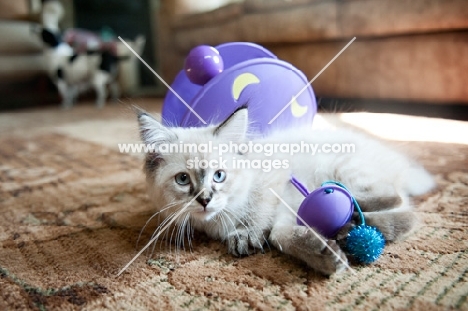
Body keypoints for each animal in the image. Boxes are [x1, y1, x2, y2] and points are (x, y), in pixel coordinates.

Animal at [137, 108, 434, 276]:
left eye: (219, 176)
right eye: (183, 180)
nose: (205, 200)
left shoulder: (274, 187)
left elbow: (266, 226)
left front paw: (245, 235)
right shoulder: (286, 213)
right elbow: (281, 235)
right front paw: (325, 254)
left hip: (344, 170)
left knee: (396, 200)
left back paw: (351, 220)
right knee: (405, 212)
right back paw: (350, 228)